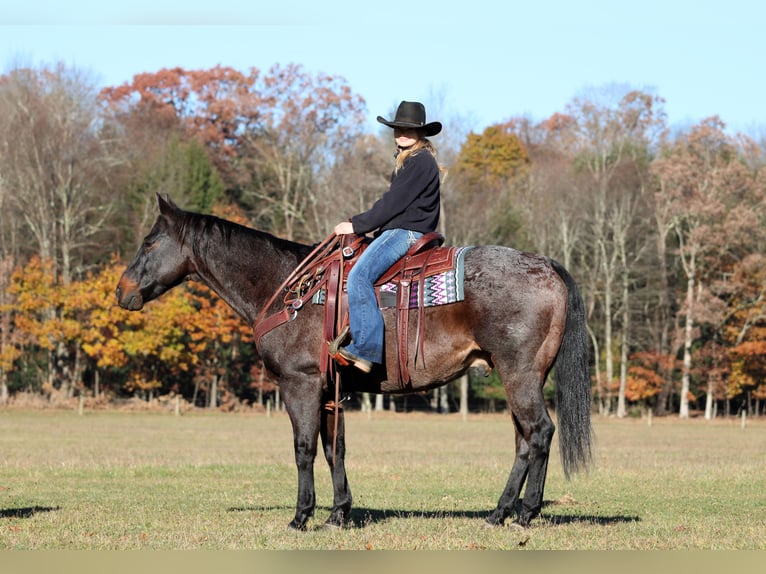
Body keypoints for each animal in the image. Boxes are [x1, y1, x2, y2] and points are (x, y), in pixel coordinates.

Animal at [116, 194, 592, 530]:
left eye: (150, 241)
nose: (122, 291)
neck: (288, 290)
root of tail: (546, 265)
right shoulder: (331, 390)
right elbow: (334, 449)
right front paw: (339, 513)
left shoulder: (301, 384)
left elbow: (304, 449)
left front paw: (302, 516)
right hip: (519, 377)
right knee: (523, 441)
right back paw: (500, 512)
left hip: (520, 376)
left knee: (540, 433)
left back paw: (526, 512)